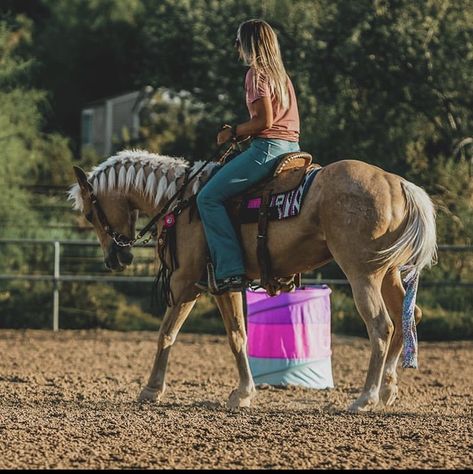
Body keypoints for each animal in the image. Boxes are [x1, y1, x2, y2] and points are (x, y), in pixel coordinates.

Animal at [69, 149, 436, 412]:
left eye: (89, 214)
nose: (116, 259)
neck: (181, 203)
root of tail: (398, 184)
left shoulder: (189, 283)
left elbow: (174, 333)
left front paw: (152, 389)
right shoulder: (218, 285)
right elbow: (232, 335)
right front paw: (242, 392)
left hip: (362, 274)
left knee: (381, 326)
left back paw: (365, 398)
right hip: (387, 272)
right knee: (409, 317)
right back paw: (387, 390)